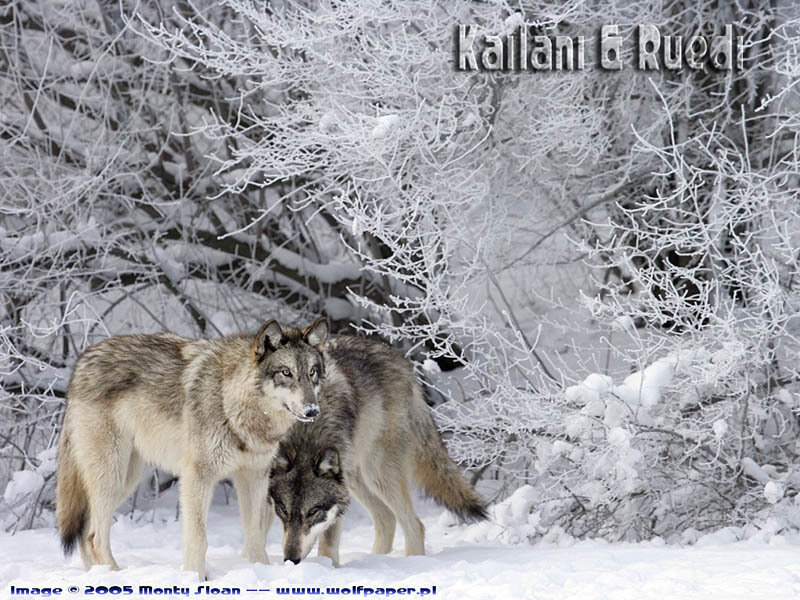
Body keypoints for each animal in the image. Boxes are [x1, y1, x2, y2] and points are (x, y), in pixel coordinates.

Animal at [55, 318, 329, 580]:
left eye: (312, 372)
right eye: (286, 372)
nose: (312, 410)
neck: (232, 404)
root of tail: (81, 364)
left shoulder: (254, 477)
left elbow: (255, 535)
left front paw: (260, 571)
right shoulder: (197, 477)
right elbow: (198, 539)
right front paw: (194, 578)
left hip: (126, 479)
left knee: (84, 532)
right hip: (112, 476)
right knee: (95, 537)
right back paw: (115, 577)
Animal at [268, 335, 488, 566]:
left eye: (312, 512)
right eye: (283, 510)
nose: (290, 560)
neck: (305, 432)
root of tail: (399, 359)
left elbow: (327, 546)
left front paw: (327, 567)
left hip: (377, 474)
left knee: (414, 525)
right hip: (356, 477)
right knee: (387, 518)